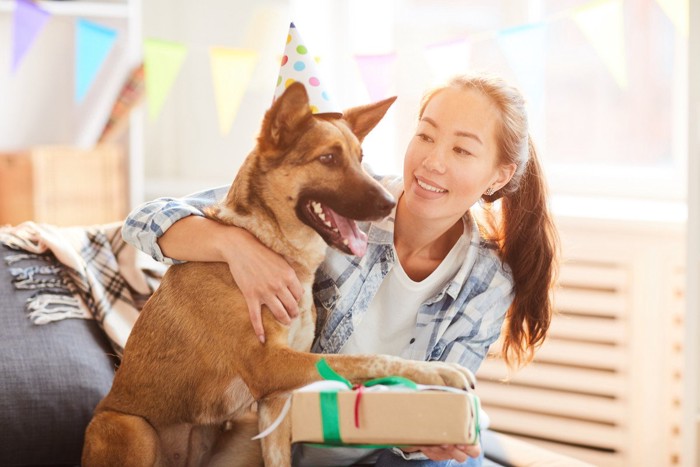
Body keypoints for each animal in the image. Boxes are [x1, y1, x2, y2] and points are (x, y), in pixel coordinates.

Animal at [83, 83, 476, 467]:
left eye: (360, 158)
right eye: (328, 158)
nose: (390, 203)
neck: (276, 247)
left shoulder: (275, 401)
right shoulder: (268, 366)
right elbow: (364, 360)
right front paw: (438, 373)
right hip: (134, 429)